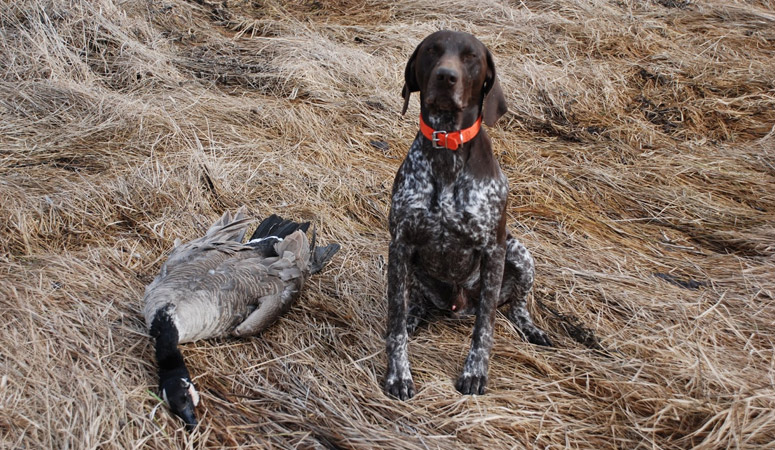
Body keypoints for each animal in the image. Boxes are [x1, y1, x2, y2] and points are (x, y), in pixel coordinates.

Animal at [384, 29, 552, 400]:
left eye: (471, 56)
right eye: (432, 50)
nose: (446, 77)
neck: (447, 147)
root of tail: (459, 307)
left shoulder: (493, 251)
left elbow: (485, 327)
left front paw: (475, 373)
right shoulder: (399, 245)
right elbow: (395, 322)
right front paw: (398, 375)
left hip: (520, 253)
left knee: (517, 305)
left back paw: (530, 328)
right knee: (416, 302)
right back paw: (416, 316)